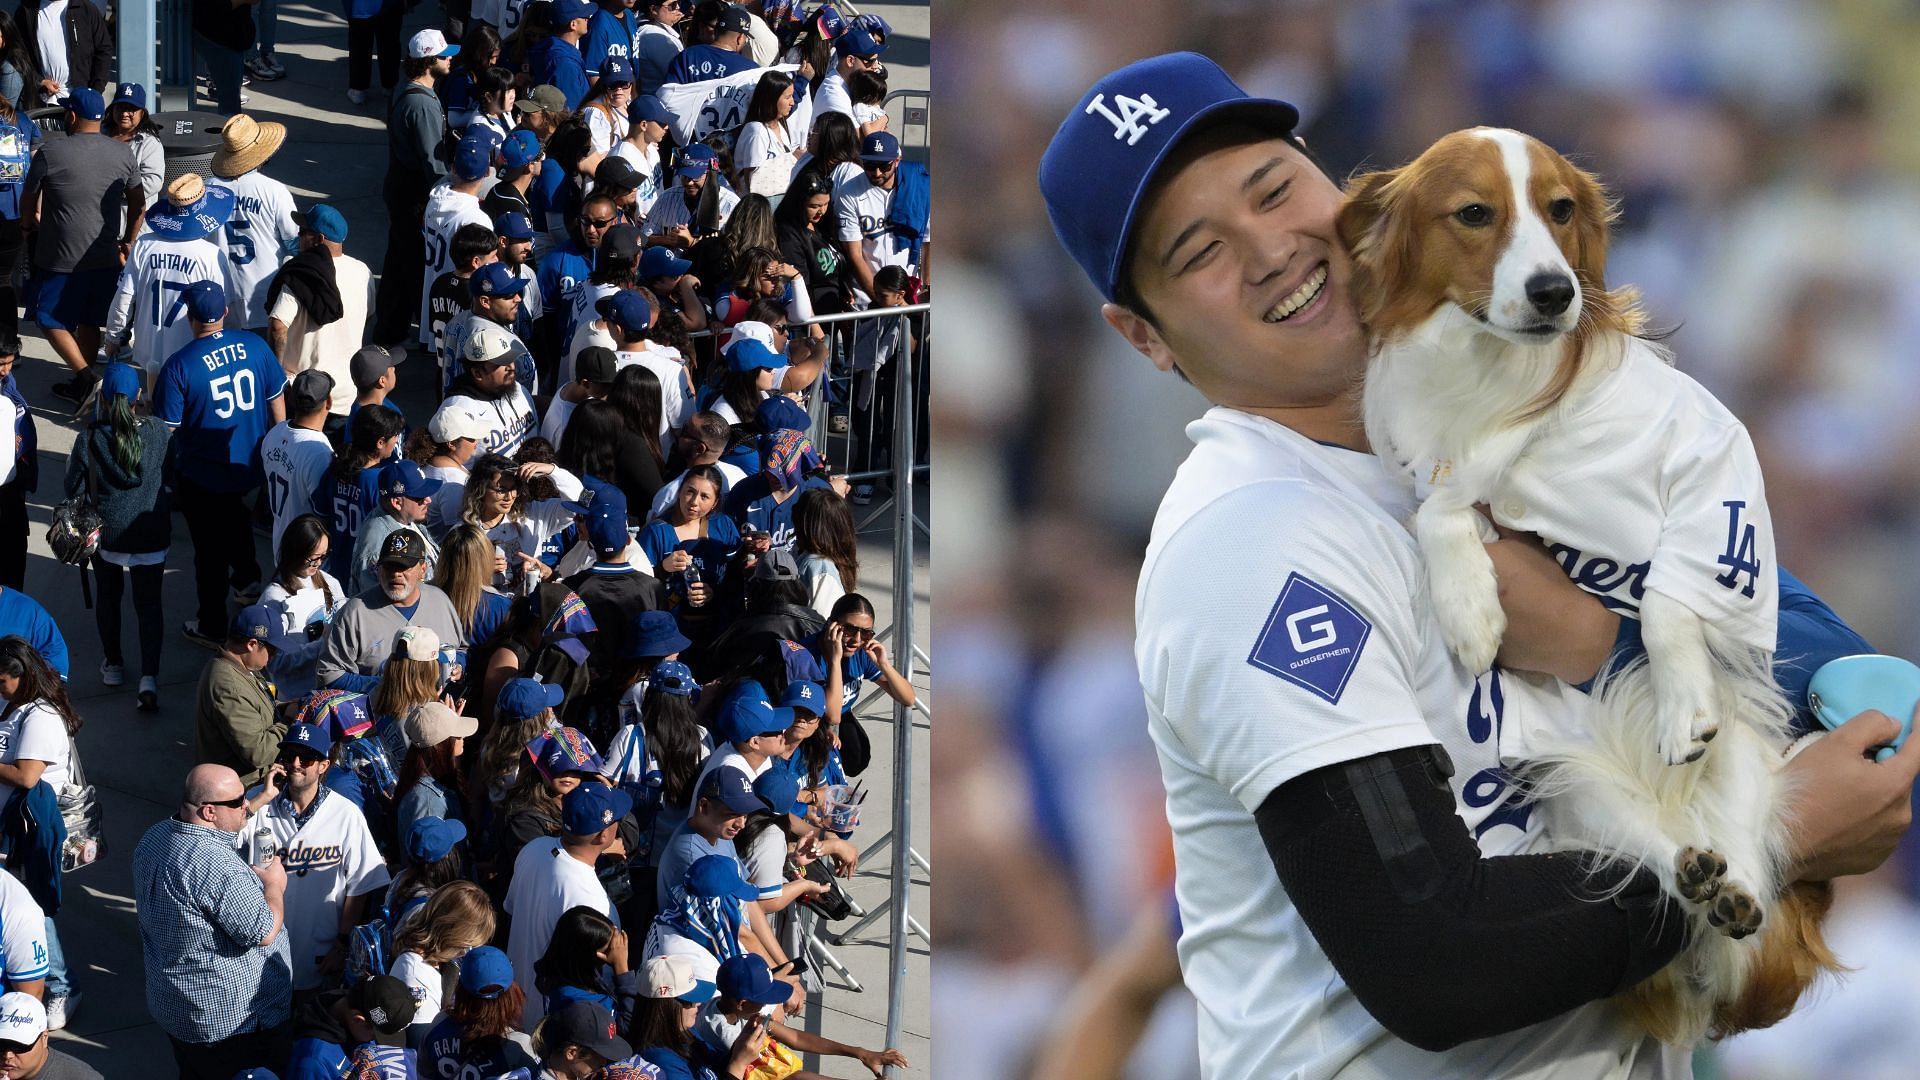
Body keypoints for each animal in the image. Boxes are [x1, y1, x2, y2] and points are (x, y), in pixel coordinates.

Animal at [1336, 127, 1843, 1045]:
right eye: (1475, 213)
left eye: (1561, 209)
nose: (1553, 290)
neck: (1497, 375)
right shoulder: (1441, 479)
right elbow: (1441, 512)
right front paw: (1470, 609)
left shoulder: (1713, 469)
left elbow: (1675, 598)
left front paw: (1681, 702)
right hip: (1576, 786)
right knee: (1667, 870)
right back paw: (1695, 874)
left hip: (1749, 760)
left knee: (1744, 872)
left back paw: (1735, 888)